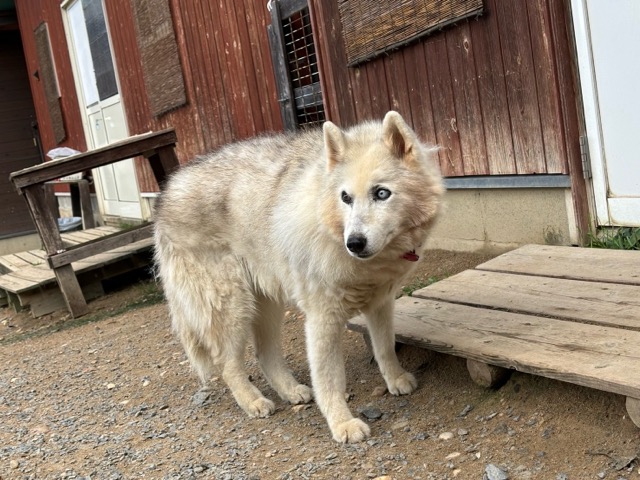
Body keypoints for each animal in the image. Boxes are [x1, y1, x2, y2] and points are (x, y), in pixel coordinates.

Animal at [154, 111, 444, 443]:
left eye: (381, 193)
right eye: (345, 198)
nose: (354, 243)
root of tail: (164, 195)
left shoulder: (381, 303)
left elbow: (384, 347)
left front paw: (395, 380)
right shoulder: (323, 318)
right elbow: (330, 379)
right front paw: (342, 424)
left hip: (267, 307)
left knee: (265, 355)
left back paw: (291, 390)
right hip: (233, 310)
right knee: (227, 364)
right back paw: (253, 401)